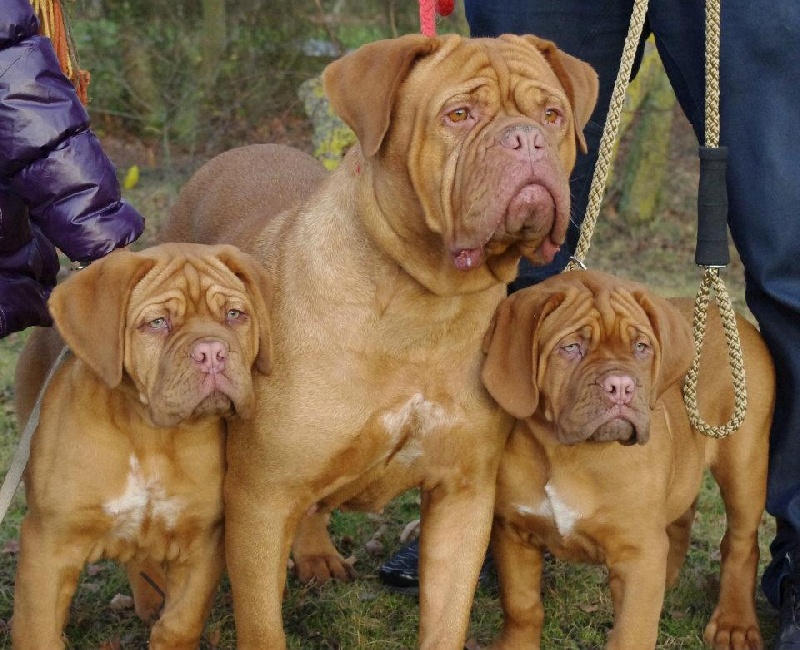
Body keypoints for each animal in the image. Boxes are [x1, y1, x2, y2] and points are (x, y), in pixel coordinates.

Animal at [12, 243, 274, 648]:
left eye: (234, 315)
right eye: (157, 323)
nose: (213, 353)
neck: (149, 433)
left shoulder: (202, 541)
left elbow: (181, 623)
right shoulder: (48, 543)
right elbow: (37, 632)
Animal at [164, 34, 600, 644]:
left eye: (553, 116)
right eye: (458, 115)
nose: (527, 138)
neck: (422, 306)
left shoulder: (462, 493)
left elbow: (446, 619)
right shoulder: (260, 498)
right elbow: (263, 625)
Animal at [482, 268, 776, 648]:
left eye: (641, 348)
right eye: (571, 348)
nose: (621, 386)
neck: (567, 453)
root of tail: (732, 317)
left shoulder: (638, 553)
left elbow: (630, 633)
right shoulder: (513, 531)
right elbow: (522, 607)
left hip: (744, 464)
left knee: (741, 543)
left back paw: (734, 623)